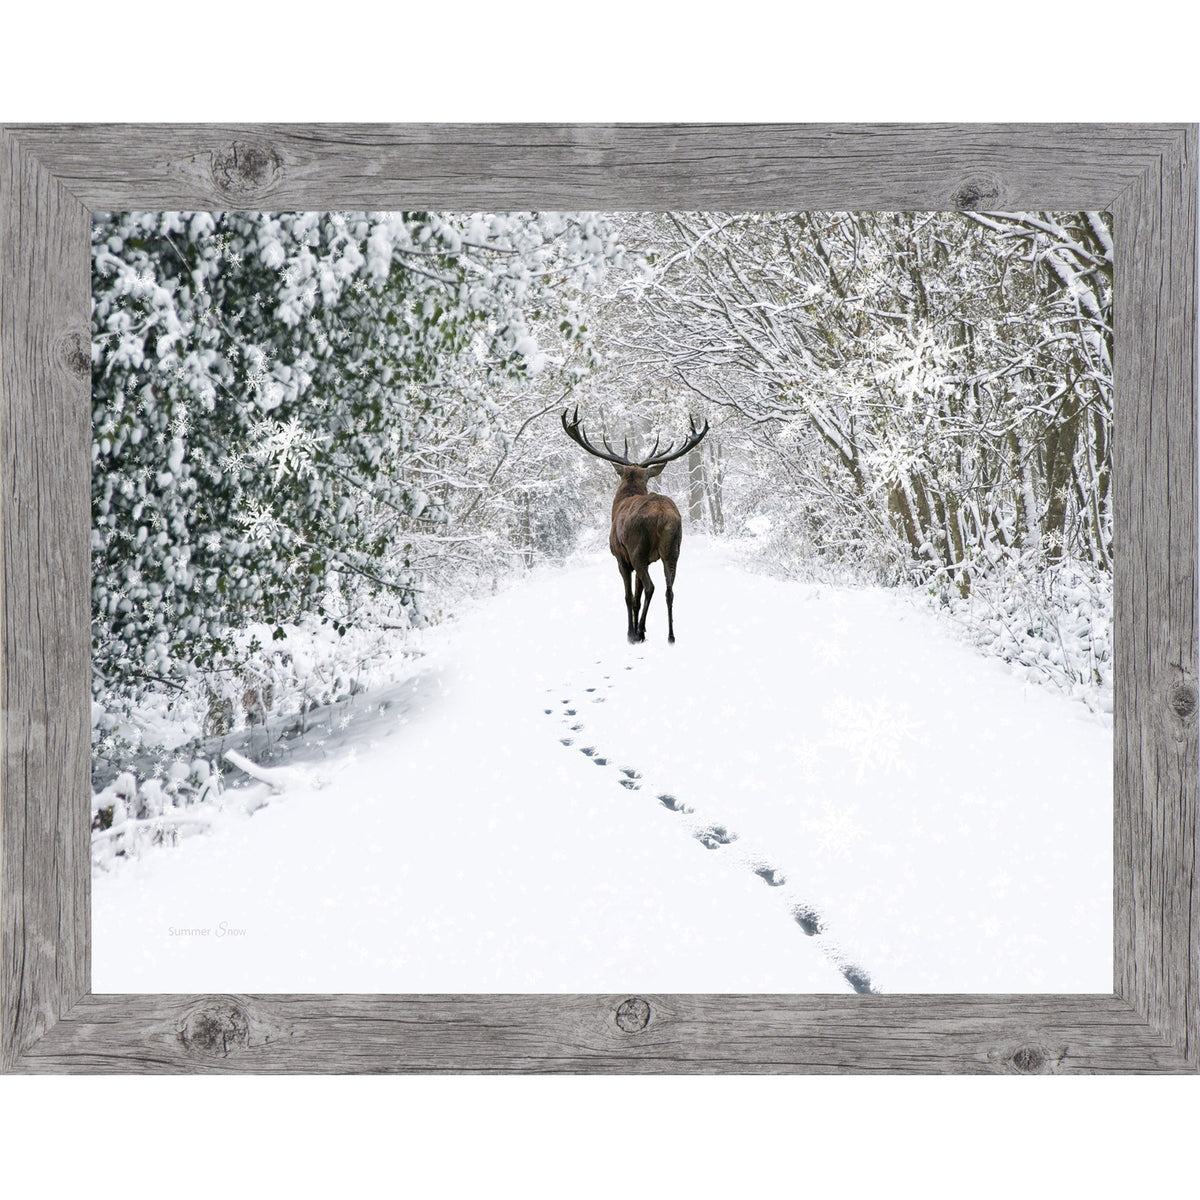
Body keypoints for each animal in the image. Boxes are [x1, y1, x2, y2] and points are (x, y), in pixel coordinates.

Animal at [561, 407, 710, 644]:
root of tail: (663, 515)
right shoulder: (649, 559)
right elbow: (637, 597)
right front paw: (644, 629)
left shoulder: (621, 557)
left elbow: (629, 596)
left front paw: (631, 632)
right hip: (673, 549)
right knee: (669, 589)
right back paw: (670, 636)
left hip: (637, 549)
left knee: (651, 587)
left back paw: (638, 632)